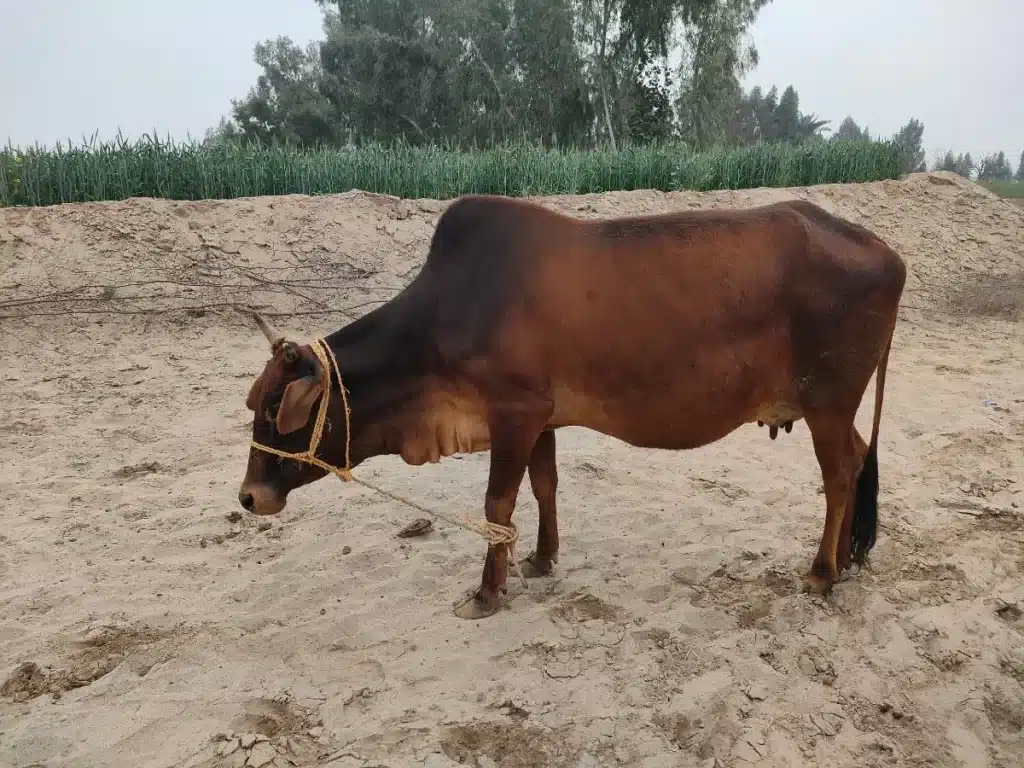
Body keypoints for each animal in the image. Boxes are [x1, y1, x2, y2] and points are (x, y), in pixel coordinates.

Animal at [237, 194, 906, 620]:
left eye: (274, 409)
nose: (248, 497)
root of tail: (886, 252)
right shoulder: (542, 417)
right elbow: (545, 487)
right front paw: (541, 558)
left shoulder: (513, 412)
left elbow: (497, 503)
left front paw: (488, 593)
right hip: (833, 408)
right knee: (857, 460)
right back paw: (846, 560)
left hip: (827, 402)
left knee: (839, 474)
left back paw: (821, 571)